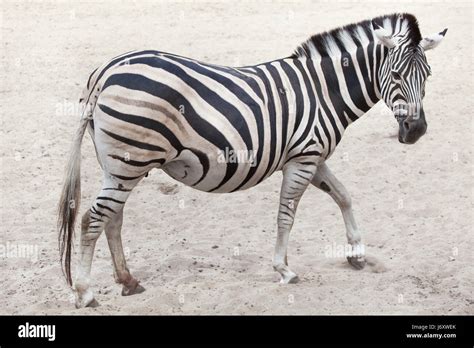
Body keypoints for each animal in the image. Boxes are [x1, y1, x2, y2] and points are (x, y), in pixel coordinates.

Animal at [57, 12, 446, 308]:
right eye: (395, 75)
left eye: (427, 75)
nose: (416, 131)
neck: (323, 92)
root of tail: (106, 70)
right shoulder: (304, 158)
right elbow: (286, 215)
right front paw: (284, 269)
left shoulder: (313, 155)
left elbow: (344, 195)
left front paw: (356, 253)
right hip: (129, 162)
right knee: (93, 219)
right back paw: (86, 293)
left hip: (119, 166)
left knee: (113, 219)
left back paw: (128, 280)